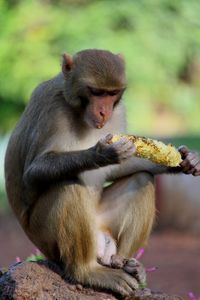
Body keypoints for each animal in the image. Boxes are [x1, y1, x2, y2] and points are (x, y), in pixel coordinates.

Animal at [4, 48, 200, 296]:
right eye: (96, 92)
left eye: (111, 93)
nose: (103, 111)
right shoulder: (51, 107)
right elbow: (33, 172)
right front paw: (101, 153)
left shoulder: (119, 110)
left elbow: (121, 167)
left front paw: (182, 161)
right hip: (45, 238)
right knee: (68, 185)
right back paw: (87, 272)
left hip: (103, 224)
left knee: (142, 179)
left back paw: (126, 264)